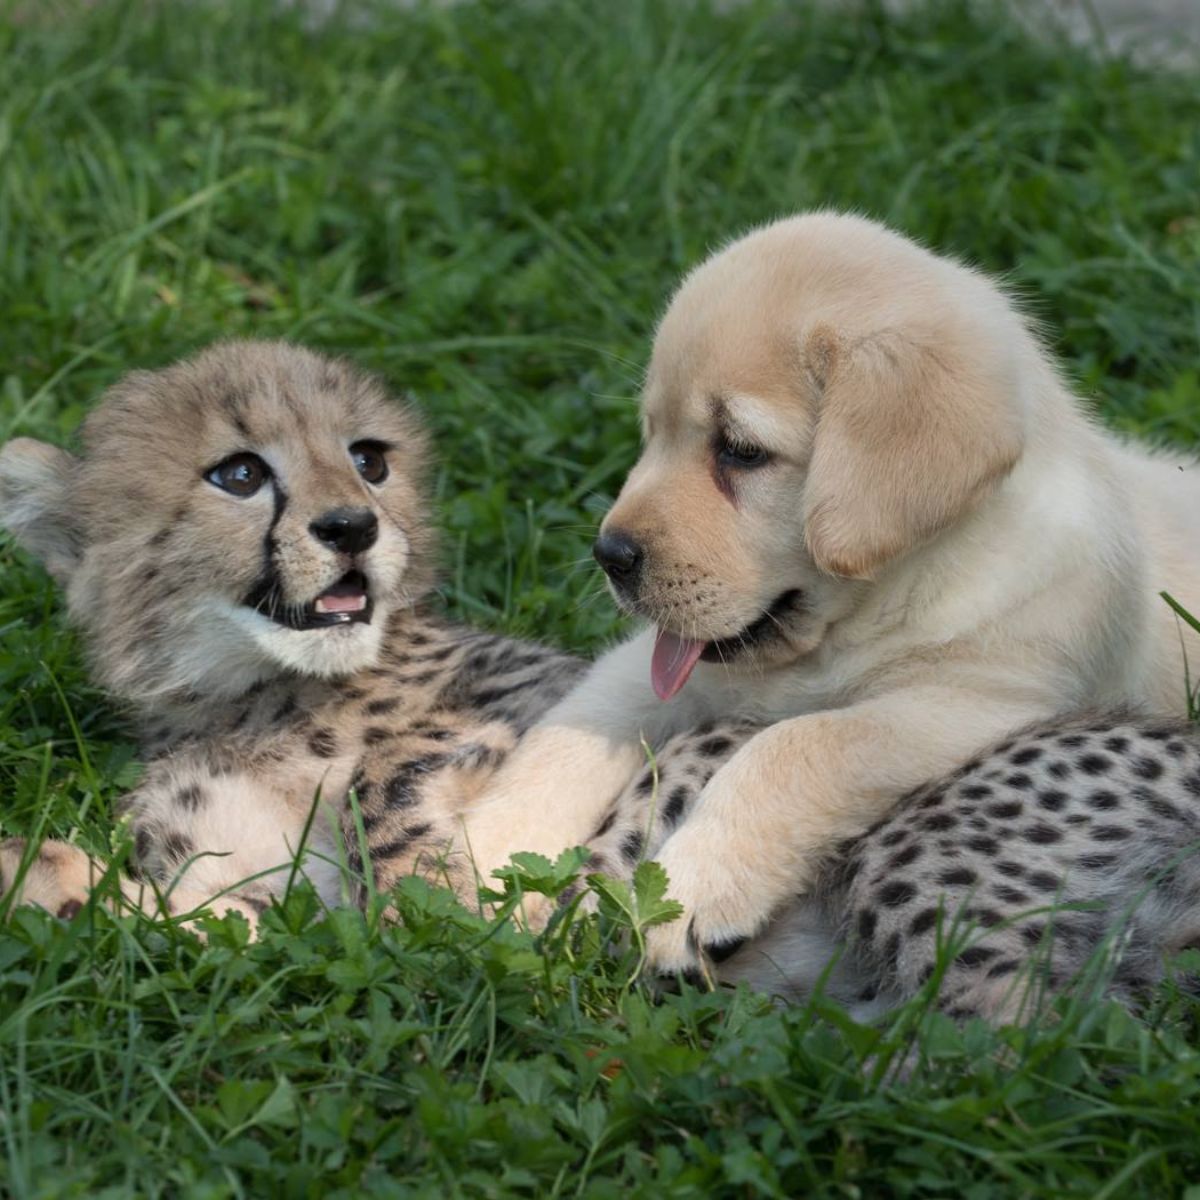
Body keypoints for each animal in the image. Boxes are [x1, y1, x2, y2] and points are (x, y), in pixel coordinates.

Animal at [446, 211, 1195, 969]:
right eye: (652, 432)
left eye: (741, 450)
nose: (610, 555)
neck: (885, 601)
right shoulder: (673, 662)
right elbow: (576, 726)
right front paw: (485, 853)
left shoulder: (982, 704)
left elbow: (799, 745)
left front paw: (698, 881)